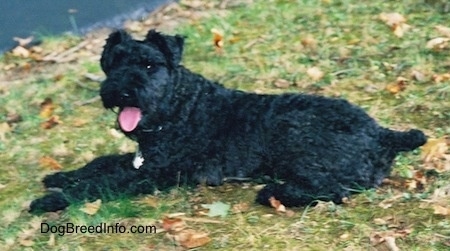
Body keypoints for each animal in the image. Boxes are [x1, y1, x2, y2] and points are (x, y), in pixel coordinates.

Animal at [30, 29, 426, 214]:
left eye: (149, 64)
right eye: (114, 63)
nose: (122, 92)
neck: (179, 107)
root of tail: (382, 133)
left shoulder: (152, 173)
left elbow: (102, 183)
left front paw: (50, 199)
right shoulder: (141, 160)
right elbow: (102, 163)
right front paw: (61, 176)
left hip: (295, 137)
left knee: (336, 189)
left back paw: (275, 193)